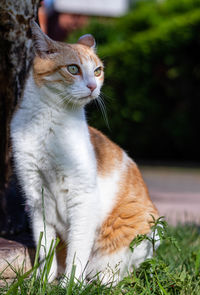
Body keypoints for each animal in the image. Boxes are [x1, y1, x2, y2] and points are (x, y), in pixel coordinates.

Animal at [10, 19, 160, 286]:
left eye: (98, 71)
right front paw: (44, 281)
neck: (49, 123)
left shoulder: (83, 198)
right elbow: (45, 247)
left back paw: (99, 281)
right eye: (73, 69)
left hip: (146, 230)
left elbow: (77, 249)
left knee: (116, 274)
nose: (92, 86)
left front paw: (71, 284)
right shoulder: (36, 198)